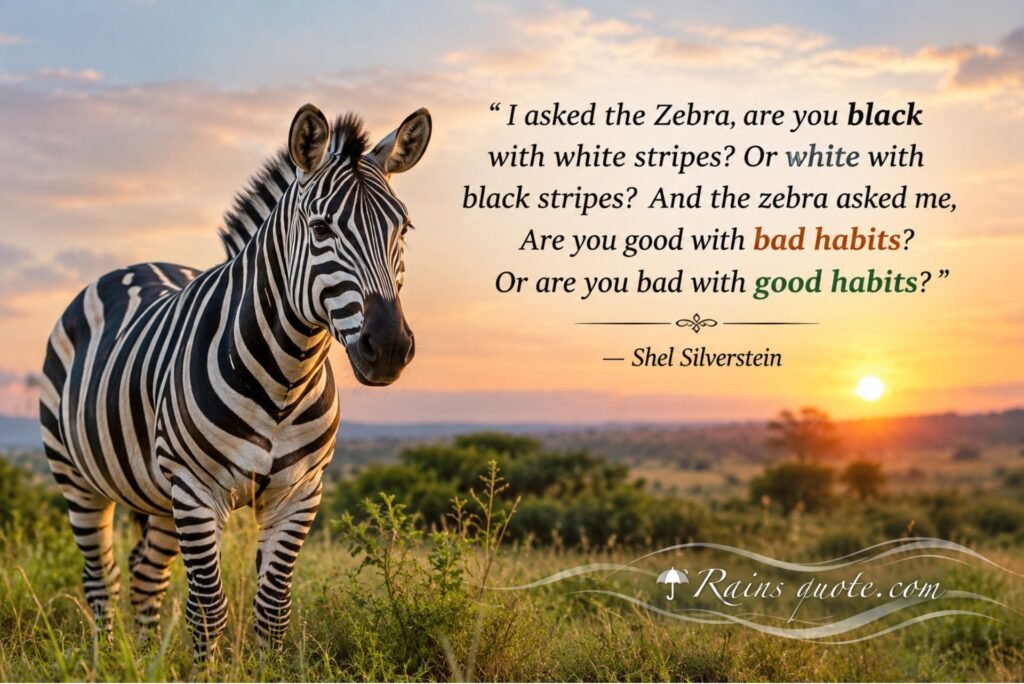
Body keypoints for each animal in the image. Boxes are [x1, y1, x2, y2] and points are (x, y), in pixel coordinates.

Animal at [38, 102, 431, 659]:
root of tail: (134, 266)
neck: (286, 378)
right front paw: (204, 668)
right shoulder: (197, 490)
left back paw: (145, 661)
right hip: (77, 476)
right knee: (101, 578)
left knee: (145, 575)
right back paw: (106, 660)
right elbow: (208, 611)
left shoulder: (298, 494)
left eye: (404, 229)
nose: (390, 348)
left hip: (161, 494)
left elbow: (273, 611)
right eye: (320, 229)